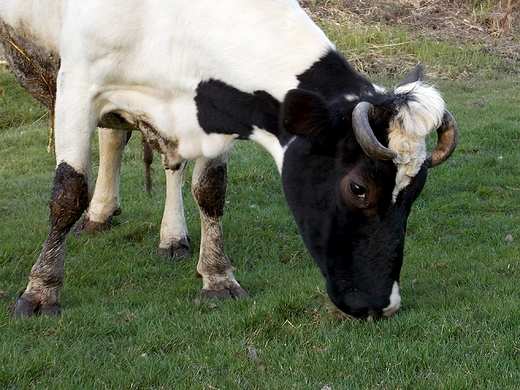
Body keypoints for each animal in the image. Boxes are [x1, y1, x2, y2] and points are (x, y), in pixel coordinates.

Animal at [1, 0, 456, 320]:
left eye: (416, 191)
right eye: (358, 187)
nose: (381, 304)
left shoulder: (215, 109)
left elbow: (210, 191)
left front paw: (217, 276)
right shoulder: (78, 84)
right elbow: (68, 192)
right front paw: (40, 290)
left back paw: (171, 236)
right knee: (111, 138)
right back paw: (98, 215)